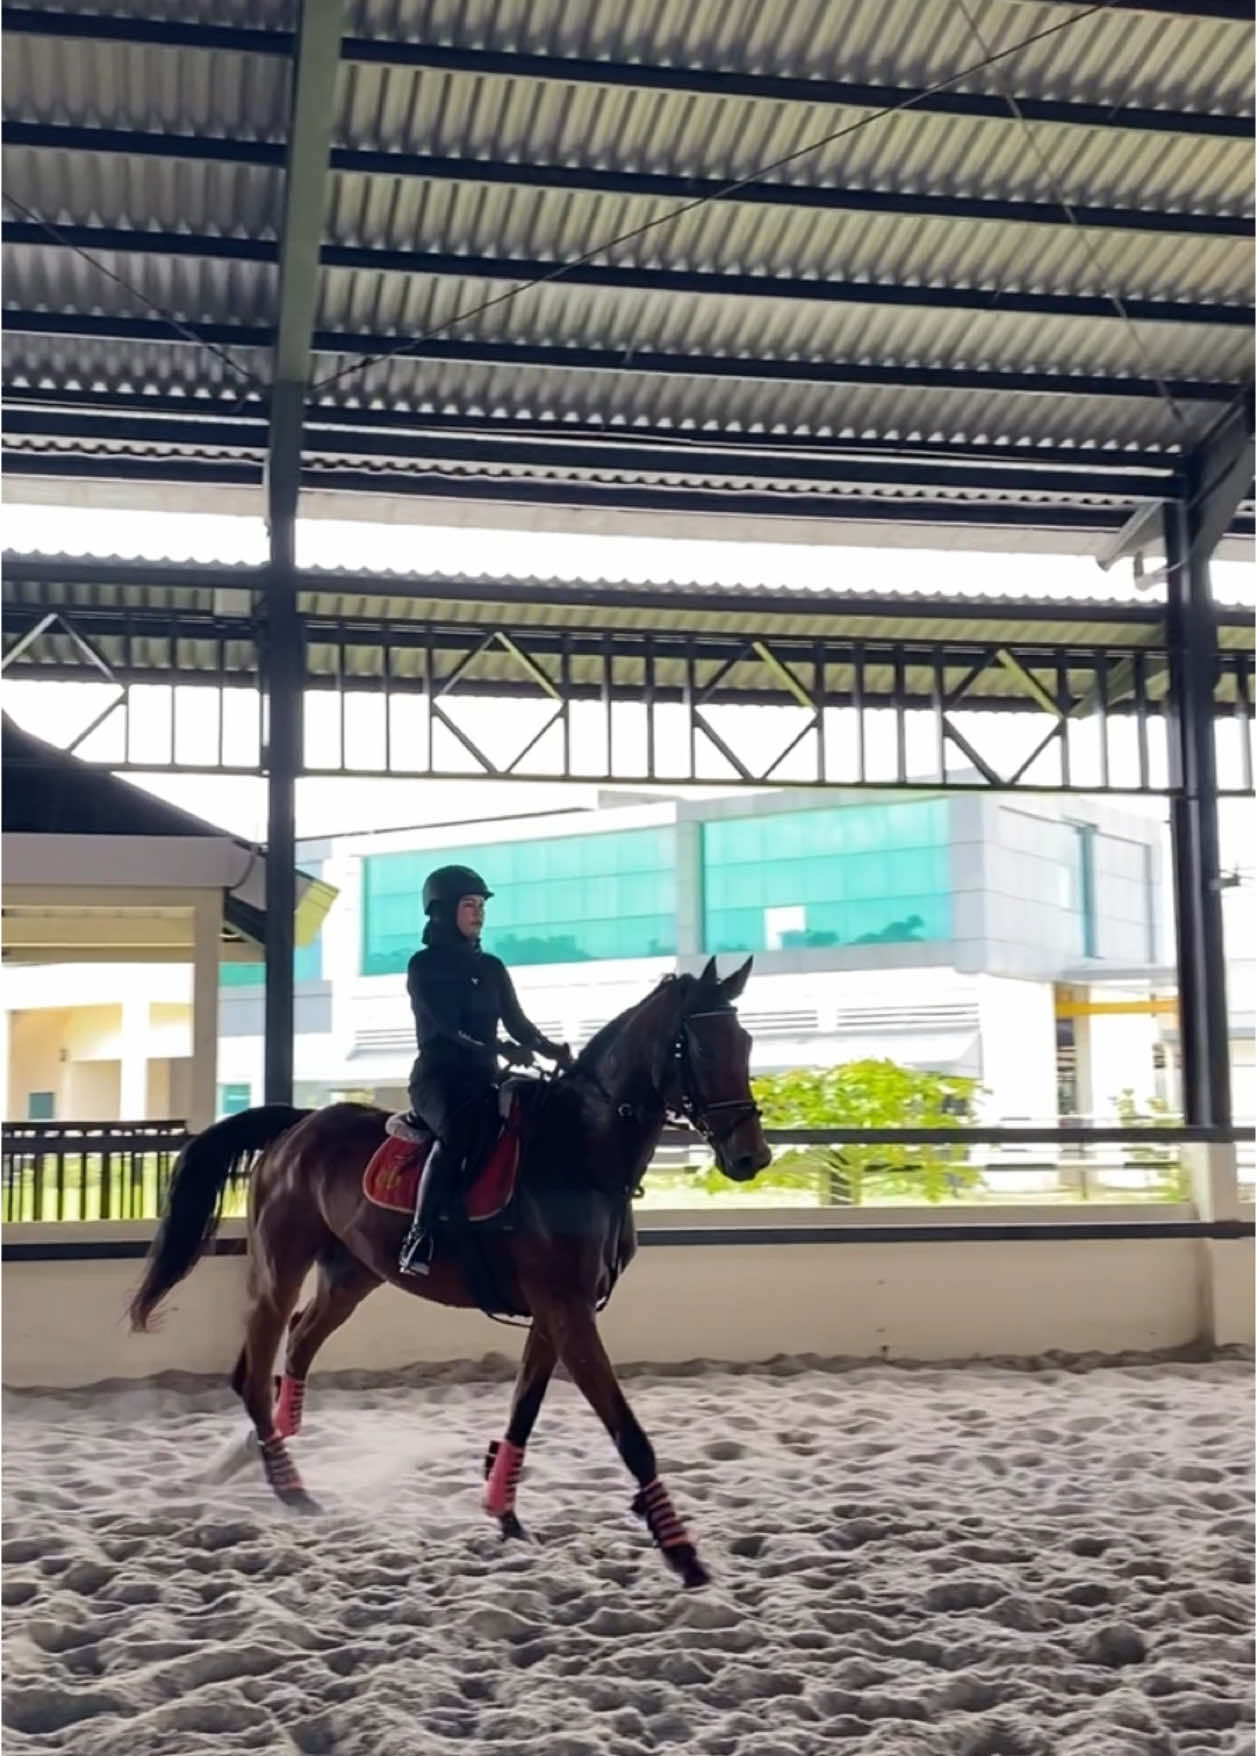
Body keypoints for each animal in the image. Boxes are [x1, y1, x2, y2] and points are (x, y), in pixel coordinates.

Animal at [132, 962, 772, 1594]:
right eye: (698, 1046)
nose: (752, 1158)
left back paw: (252, 1454)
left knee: (296, 1347)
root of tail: (300, 1124)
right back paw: (288, 1485)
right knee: (256, 1371)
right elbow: (630, 1436)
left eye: (744, 1041)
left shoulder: (557, 1312)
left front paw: (504, 1511)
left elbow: (523, 1410)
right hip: (280, 1268)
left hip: (352, 1275)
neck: (579, 1151)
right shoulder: (567, 1311)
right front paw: (682, 1552)